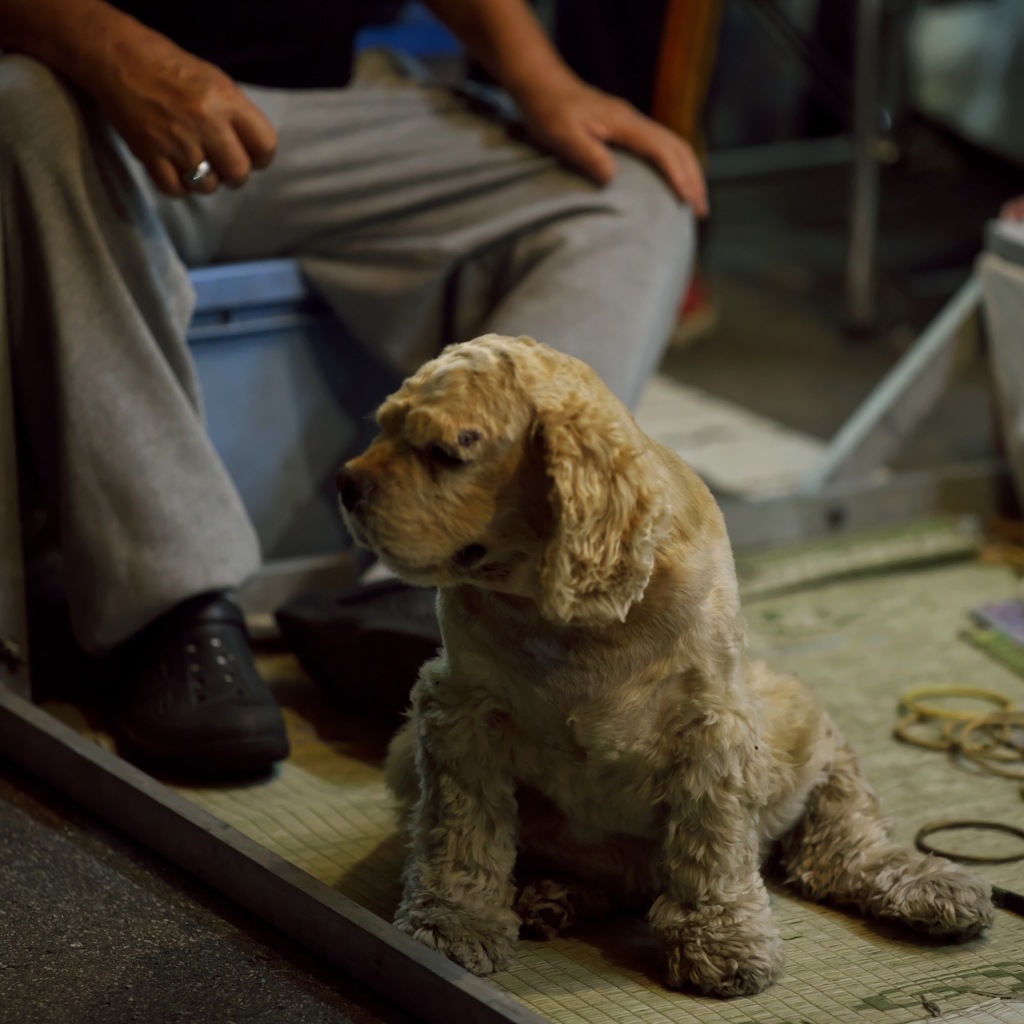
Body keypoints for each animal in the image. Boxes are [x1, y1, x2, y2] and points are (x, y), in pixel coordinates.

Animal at [339, 337, 995, 999]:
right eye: (383, 428)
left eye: (446, 452)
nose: (344, 483)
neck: (571, 619)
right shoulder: (458, 712)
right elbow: (462, 832)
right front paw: (453, 925)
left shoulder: (712, 724)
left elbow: (712, 841)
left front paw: (722, 943)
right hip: (406, 753)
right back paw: (550, 895)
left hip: (807, 727)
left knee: (842, 841)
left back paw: (931, 888)